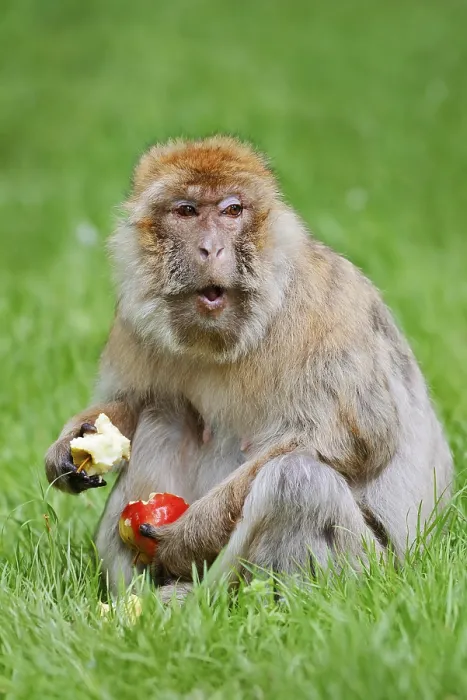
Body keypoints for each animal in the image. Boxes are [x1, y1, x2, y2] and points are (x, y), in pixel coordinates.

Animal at [45, 135, 453, 597]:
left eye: (232, 210)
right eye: (187, 211)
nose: (211, 248)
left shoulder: (326, 308)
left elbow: (352, 439)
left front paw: (188, 536)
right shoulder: (133, 319)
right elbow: (129, 402)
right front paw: (72, 443)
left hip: (370, 568)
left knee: (298, 481)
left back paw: (199, 601)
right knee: (165, 412)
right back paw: (138, 597)